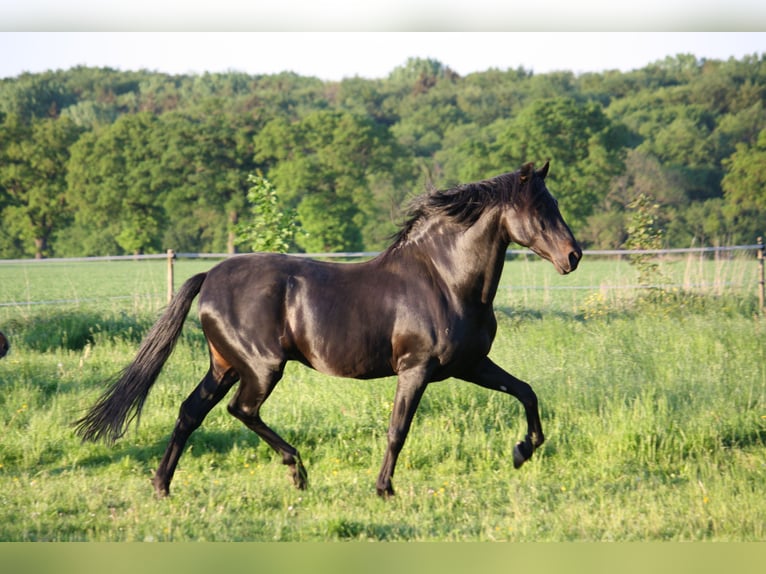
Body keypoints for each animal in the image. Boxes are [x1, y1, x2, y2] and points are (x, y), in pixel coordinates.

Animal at [78, 162, 584, 500]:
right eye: (540, 208)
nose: (573, 256)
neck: (445, 279)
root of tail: (211, 276)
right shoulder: (416, 369)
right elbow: (398, 429)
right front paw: (384, 489)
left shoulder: (470, 364)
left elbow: (526, 392)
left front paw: (522, 451)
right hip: (261, 367)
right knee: (241, 410)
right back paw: (298, 472)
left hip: (224, 365)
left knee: (190, 412)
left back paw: (162, 485)